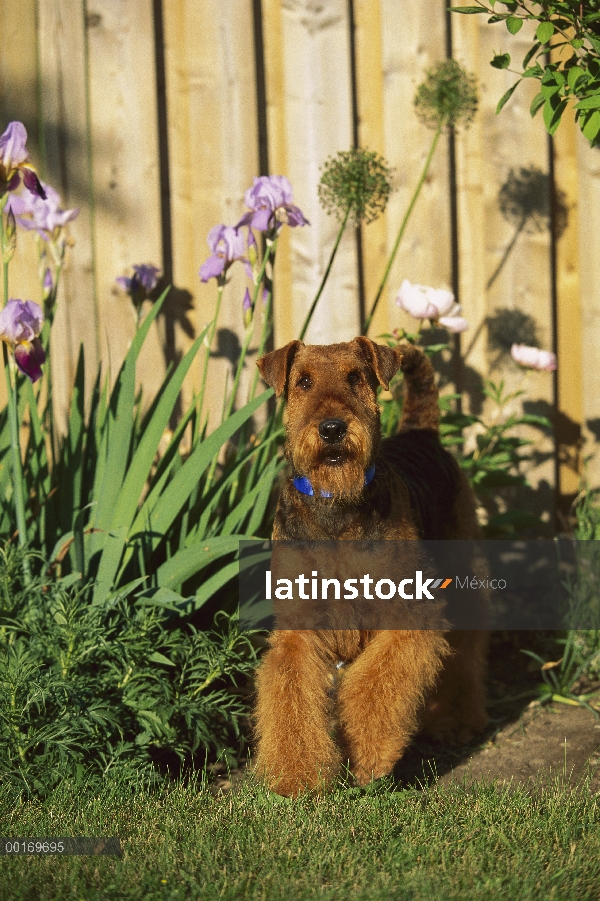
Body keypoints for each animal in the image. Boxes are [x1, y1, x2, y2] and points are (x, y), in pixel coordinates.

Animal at [253, 338, 488, 796]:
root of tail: (421, 432)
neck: (337, 509)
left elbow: (376, 687)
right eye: (303, 381)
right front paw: (296, 775)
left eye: (355, 377)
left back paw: (460, 722)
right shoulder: (299, 626)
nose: (332, 429)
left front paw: (366, 760)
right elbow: (290, 695)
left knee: (466, 658)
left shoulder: (407, 613)